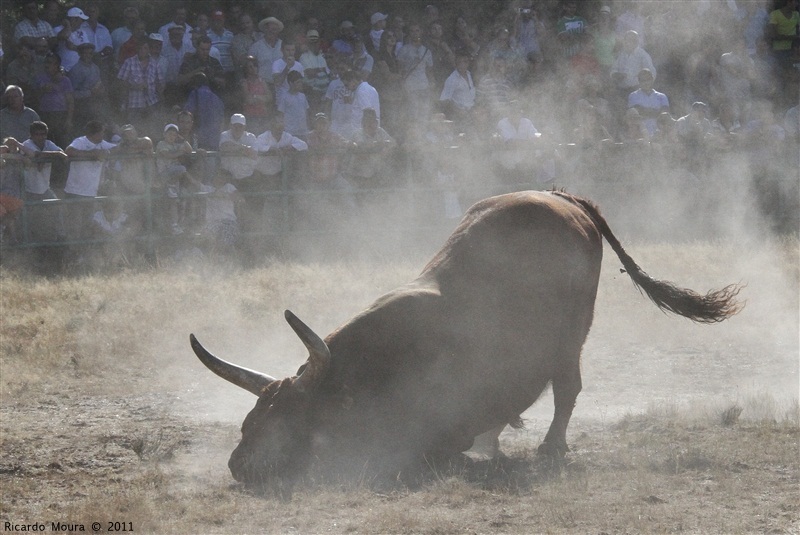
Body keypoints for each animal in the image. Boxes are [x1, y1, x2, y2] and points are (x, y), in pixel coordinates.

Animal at [191, 189, 740, 498]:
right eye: (250, 421)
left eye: (285, 422)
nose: (239, 465)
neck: (370, 375)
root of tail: (565, 200)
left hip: (572, 336)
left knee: (567, 389)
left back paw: (549, 447)